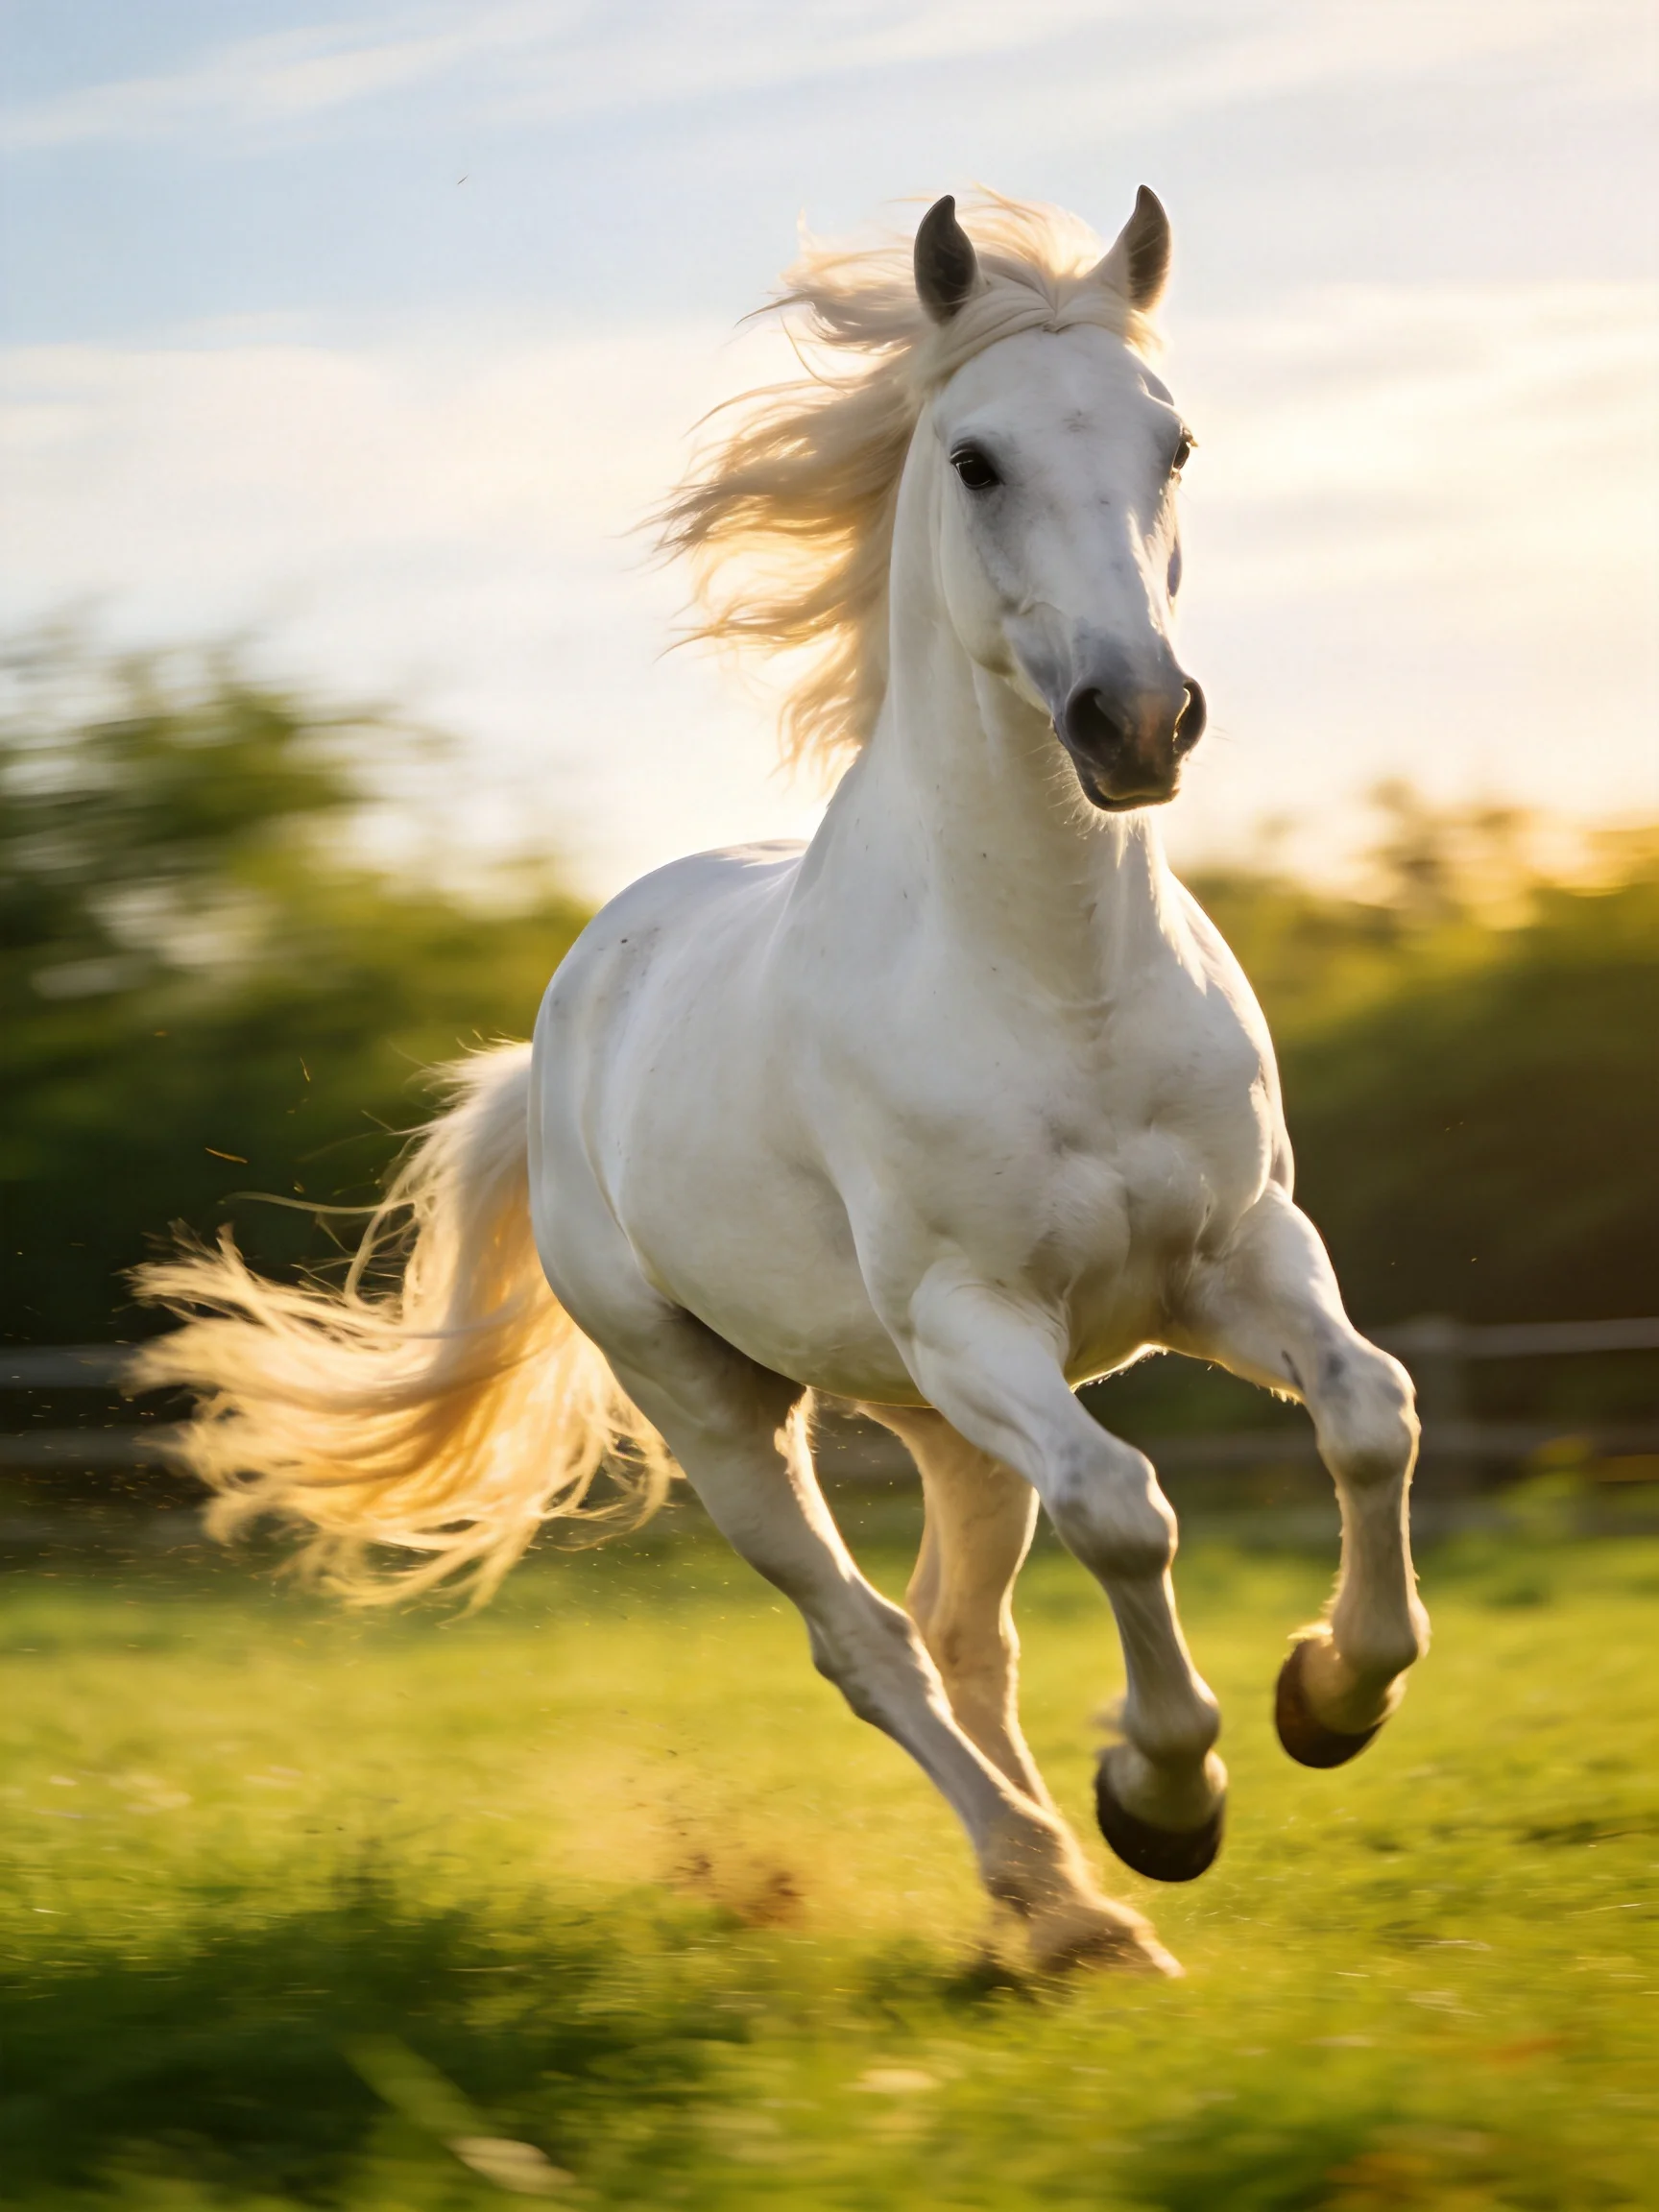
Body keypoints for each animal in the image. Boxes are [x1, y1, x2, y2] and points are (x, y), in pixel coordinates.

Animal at [138, 187, 1429, 1976]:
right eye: (973, 458)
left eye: (1172, 441)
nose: (1137, 719)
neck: (1057, 983)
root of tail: (566, 1019)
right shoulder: (978, 1316)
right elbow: (1126, 1504)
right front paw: (1167, 1796)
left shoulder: (1233, 1258)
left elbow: (1371, 1409)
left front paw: (1328, 1696)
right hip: (735, 1405)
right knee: (869, 1639)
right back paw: (1057, 1892)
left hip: (944, 1419)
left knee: (963, 1632)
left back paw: (1064, 1908)